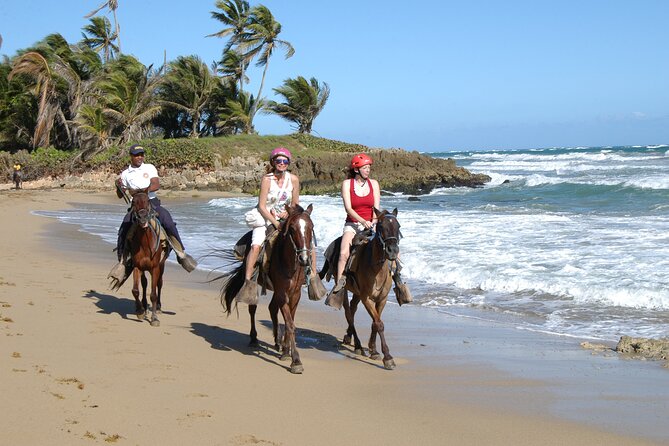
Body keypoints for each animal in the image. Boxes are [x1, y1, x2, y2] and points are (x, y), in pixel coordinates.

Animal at [115, 190, 168, 326]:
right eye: (133, 201)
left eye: (147, 200)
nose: (143, 217)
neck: (145, 243)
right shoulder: (137, 267)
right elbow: (135, 290)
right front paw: (140, 311)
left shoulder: (155, 268)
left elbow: (153, 294)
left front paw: (154, 318)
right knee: (144, 284)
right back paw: (144, 307)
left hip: (161, 266)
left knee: (159, 284)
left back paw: (158, 307)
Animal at [222, 204, 318, 374]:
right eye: (292, 228)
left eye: (311, 227)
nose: (304, 259)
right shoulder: (282, 292)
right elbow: (290, 324)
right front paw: (296, 360)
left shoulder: (295, 294)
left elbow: (289, 321)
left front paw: (286, 351)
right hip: (256, 284)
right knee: (253, 309)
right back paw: (254, 338)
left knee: (272, 308)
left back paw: (278, 343)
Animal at [324, 209, 402, 370]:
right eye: (381, 226)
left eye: (398, 227)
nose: (392, 251)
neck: (377, 268)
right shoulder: (367, 298)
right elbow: (379, 323)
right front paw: (387, 357)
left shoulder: (382, 299)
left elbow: (375, 323)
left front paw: (373, 350)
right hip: (345, 288)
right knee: (349, 314)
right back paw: (358, 346)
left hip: (357, 293)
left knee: (353, 310)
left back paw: (349, 337)